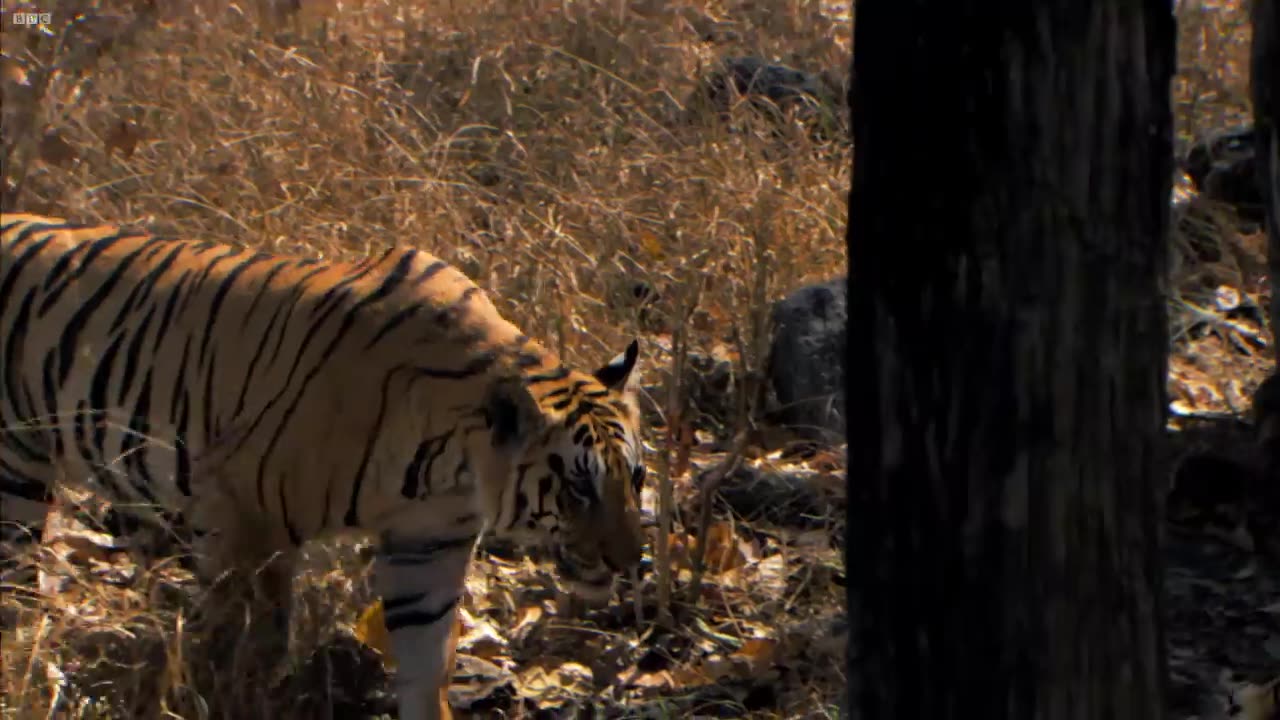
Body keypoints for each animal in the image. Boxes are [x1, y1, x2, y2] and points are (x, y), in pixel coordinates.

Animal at [0, 211, 650, 717]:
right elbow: (248, 641)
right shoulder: (246, 515)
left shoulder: (427, 545)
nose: (627, 563)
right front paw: (234, 699)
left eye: (636, 477)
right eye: (577, 487)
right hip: (14, 478)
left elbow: (426, 664)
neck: (453, 465)